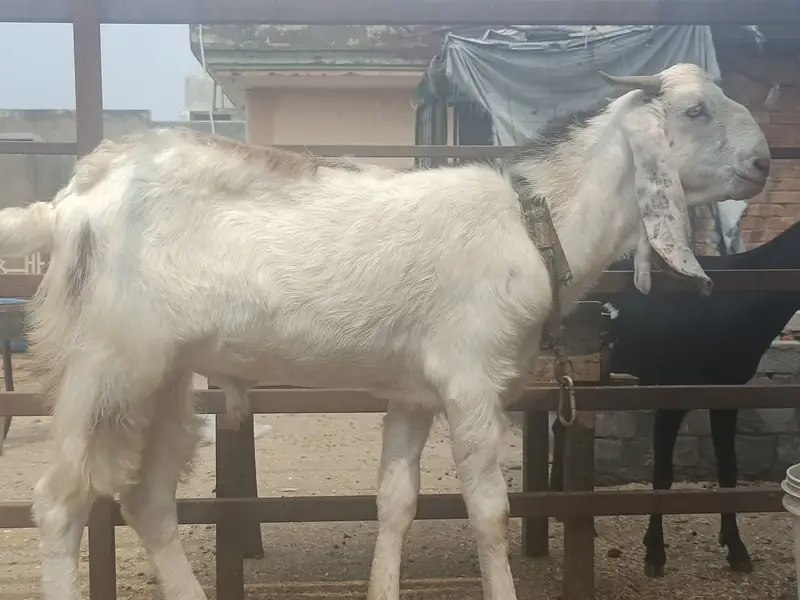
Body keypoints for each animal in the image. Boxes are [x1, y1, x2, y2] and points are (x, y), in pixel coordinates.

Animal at [0, 63, 768, 600]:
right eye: (694, 110)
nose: (763, 162)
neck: (533, 221)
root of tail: (68, 207)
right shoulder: (470, 381)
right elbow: (489, 511)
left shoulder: (413, 393)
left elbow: (396, 503)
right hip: (107, 365)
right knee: (60, 503)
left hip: (166, 374)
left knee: (148, 500)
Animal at [551, 220, 800, 579]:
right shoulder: (671, 391)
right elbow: (663, 475)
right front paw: (655, 552)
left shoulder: (727, 392)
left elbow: (728, 468)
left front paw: (736, 548)